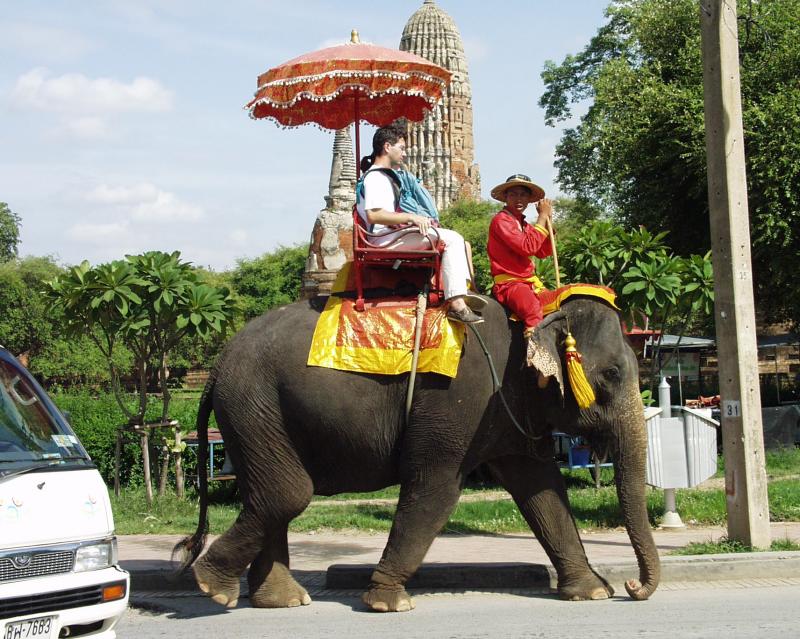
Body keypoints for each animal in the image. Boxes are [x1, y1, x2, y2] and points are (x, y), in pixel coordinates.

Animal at [178, 292, 660, 612]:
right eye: (612, 374)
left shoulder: (505, 412)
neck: (533, 318)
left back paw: (280, 601)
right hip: (254, 406)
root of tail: (217, 366)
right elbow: (436, 486)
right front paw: (388, 603)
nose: (631, 589)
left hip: (255, 417)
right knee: (287, 493)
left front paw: (590, 593)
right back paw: (211, 587)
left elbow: (542, 489)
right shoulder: (457, 401)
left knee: (270, 494)